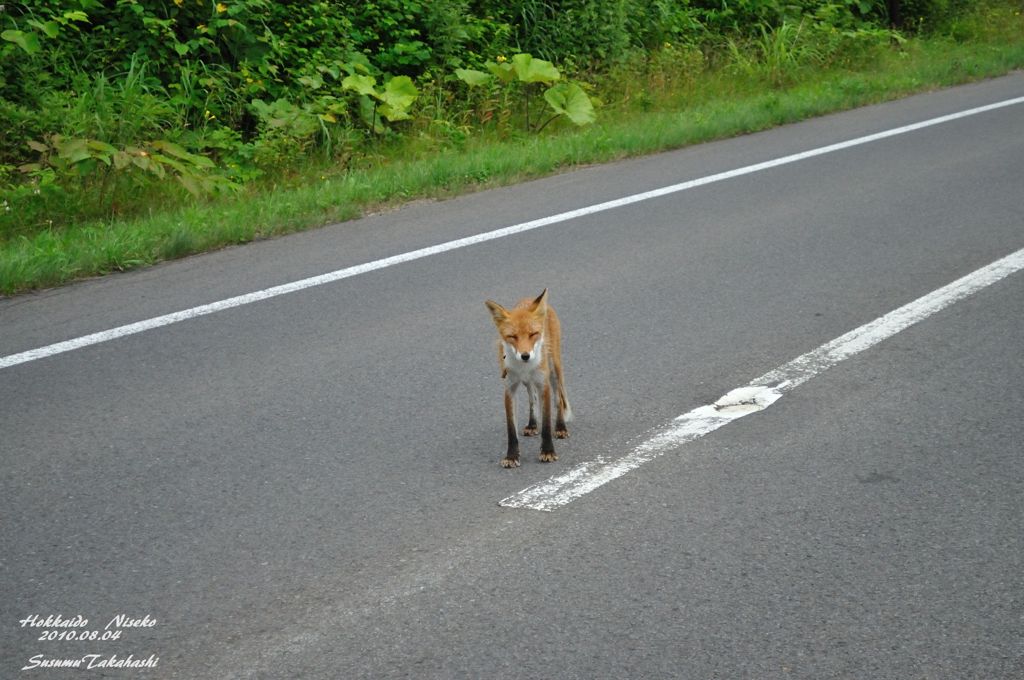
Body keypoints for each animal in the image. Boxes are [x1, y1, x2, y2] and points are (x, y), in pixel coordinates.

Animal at [485, 286, 573, 466]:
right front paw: (512, 456)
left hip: (554, 370)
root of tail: (529, 298)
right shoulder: (510, 388)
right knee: (532, 399)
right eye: (512, 337)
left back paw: (560, 427)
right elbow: (511, 429)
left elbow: (546, 424)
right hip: (527, 382)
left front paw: (547, 451)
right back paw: (532, 425)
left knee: (559, 399)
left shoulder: (543, 384)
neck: (524, 367)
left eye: (533, 334)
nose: (525, 356)